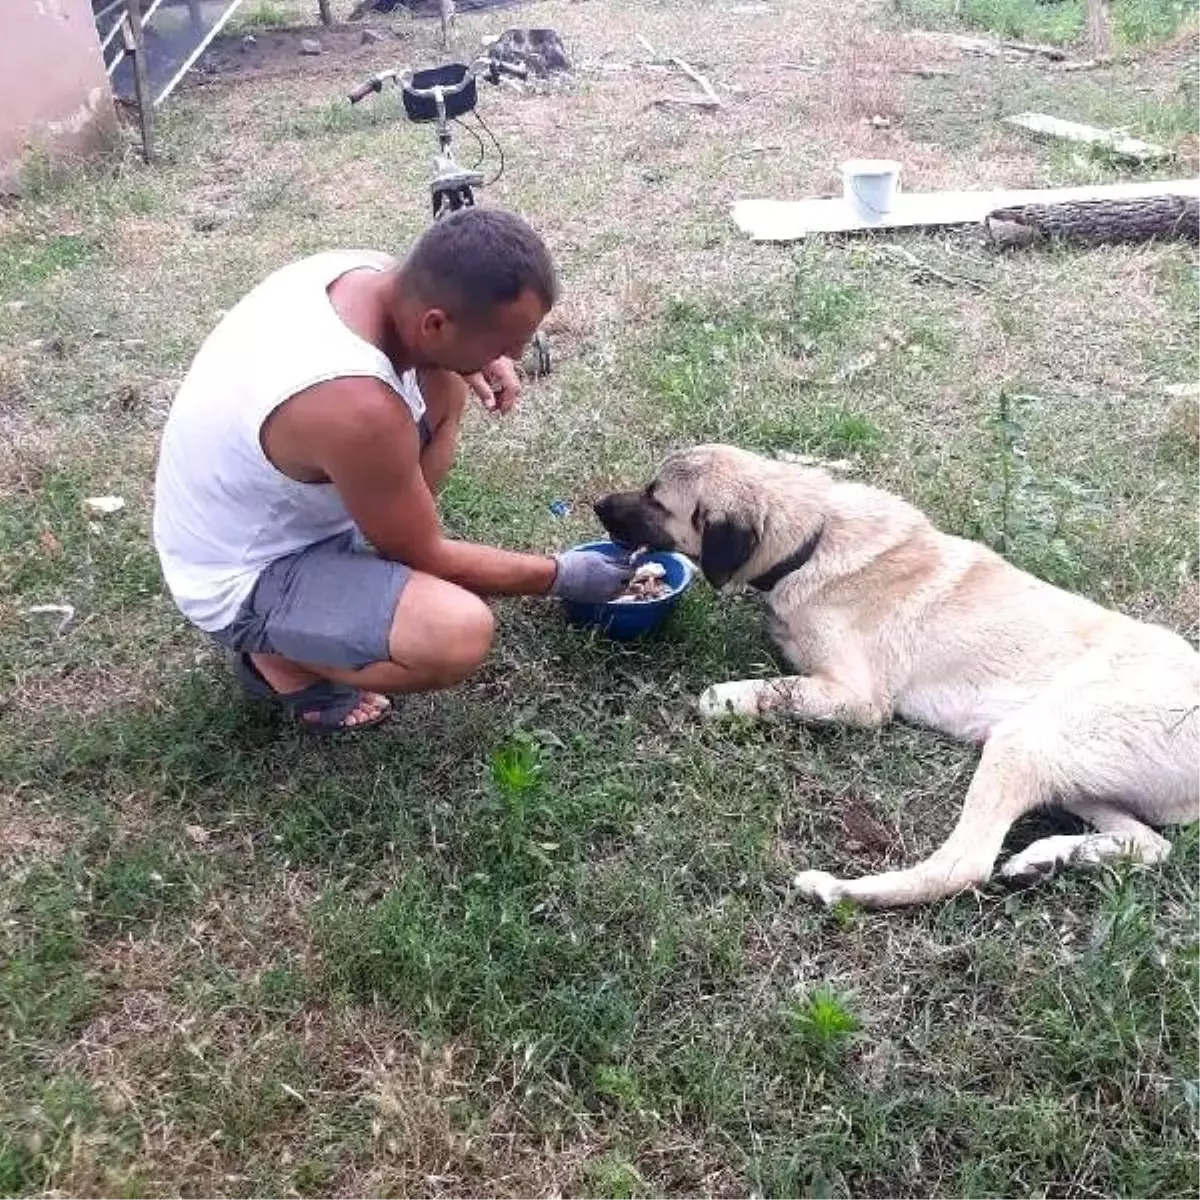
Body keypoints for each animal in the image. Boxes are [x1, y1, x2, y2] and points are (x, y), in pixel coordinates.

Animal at [592, 446, 1200, 902]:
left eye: (656, 498)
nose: (597, 504)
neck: (814, 537)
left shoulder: (858, 699)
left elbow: (765, 691)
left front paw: (727, 698)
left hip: (1031, 740)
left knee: (963, 866)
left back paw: (839, 890)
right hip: (1055, 758)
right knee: (1151, 844)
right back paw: (1050, 858)